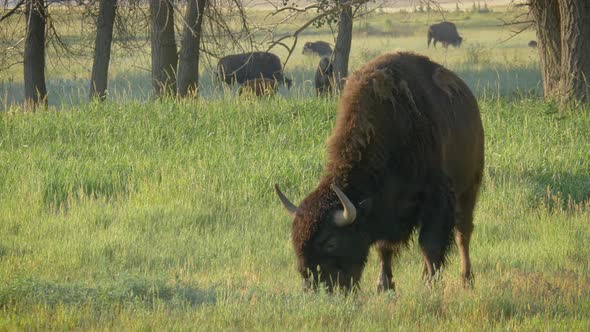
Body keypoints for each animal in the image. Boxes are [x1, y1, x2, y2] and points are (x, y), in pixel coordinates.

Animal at [276, 52, 486, 294]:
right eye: (295, 242)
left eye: (331, 242)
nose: (315, 288)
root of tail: (468, 98)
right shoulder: (384, 206)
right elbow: (384, 248)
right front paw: (384, 285)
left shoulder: (437, 199)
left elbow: (430, 245)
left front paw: (431, 285)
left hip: (469, 188)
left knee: (463, 234)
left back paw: (466, 279)